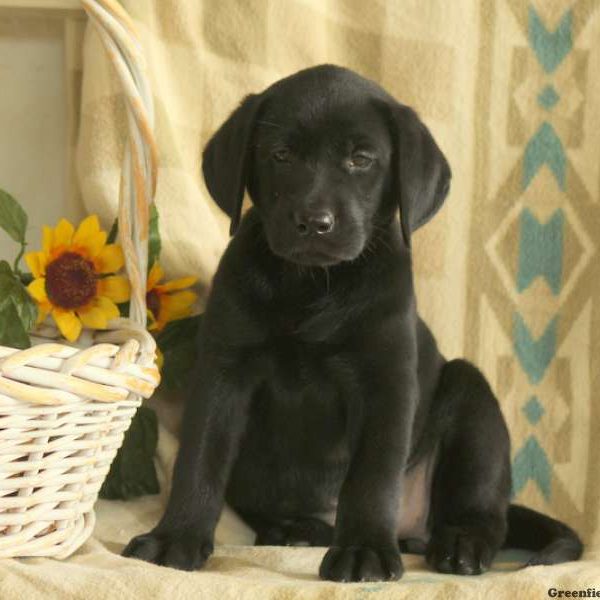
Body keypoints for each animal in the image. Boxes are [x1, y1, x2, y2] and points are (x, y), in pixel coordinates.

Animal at [125, 64, 580, 580]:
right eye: (281, 154)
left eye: (361, 159)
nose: (314, 221)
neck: (311, 286)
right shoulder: (224, 372)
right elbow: (199, 459)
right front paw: (175, 536)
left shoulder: (386, 382)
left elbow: (372, 476)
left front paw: (363, 550)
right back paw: (296, 529)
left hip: (472, 399)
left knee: (486, 510)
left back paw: (461, 542)